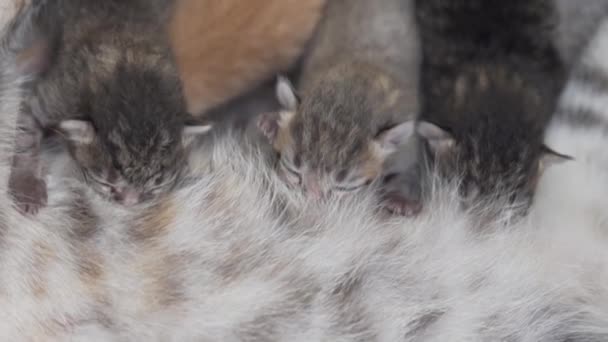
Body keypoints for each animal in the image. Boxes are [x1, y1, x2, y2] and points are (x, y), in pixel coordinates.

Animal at [9, 0, 211, 214]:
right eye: (107, 184)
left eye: (153, 186)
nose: (129, 203)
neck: (132, 62)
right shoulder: (58, 96)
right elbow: (26, 136)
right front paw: (26, 185)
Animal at [254, 0, 420, 215]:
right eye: (294, 171)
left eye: (343, 187)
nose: (311, 199)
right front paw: (273, 121)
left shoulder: (407, 148)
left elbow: (408, 167)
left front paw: (401, 196)